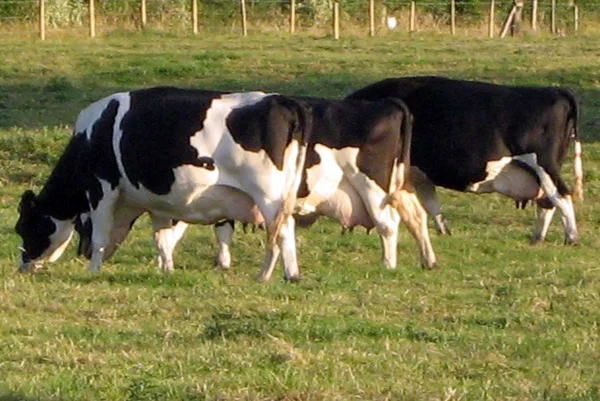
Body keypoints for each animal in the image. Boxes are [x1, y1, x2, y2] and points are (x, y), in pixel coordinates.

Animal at [15, 87, 312, 282]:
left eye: (24, 227)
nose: (23, 265)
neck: (91, 135)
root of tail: (283, 101)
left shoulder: (101, 188)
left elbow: (100, 236)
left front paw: (93, 271)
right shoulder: (156, 202)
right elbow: (162, 238)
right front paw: (166, 269)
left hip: (268, 195)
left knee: (281, 231)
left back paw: (271, 275)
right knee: (285, 229)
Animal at [77, 95, 438, 274]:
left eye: (81, 225)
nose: (82, 254)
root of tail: (387, 104)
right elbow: (194, 230)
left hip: (369, 186)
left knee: (387, 224)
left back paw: (386, 265)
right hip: (397, 185)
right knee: (416, 216)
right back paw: (427, 261)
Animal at [344, 76, 584, 244]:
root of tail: (555, 90)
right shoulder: (419, 174)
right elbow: (432, 204)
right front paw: (444, 232)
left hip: (544, 164)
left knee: (562, 196)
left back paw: (571, 237)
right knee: (548, 201)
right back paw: (537, 238)